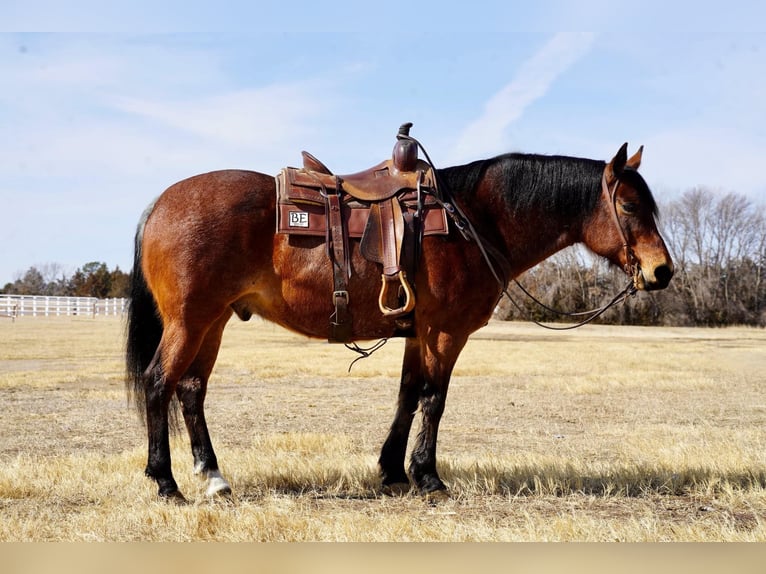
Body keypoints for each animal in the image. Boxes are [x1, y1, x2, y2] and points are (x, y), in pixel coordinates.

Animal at [124, 137, 672, 502]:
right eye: (628, 205)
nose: (662, 270)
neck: (473, 221)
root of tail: (161, 203)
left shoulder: (418, 332)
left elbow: (408, 396)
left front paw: (393, 471)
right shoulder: (446, 332)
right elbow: (433, 400)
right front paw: (428, 476)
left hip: (212, 322)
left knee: (191, 390)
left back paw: (214, 476)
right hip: (189, 322)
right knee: (159, 383)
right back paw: (166, 482)